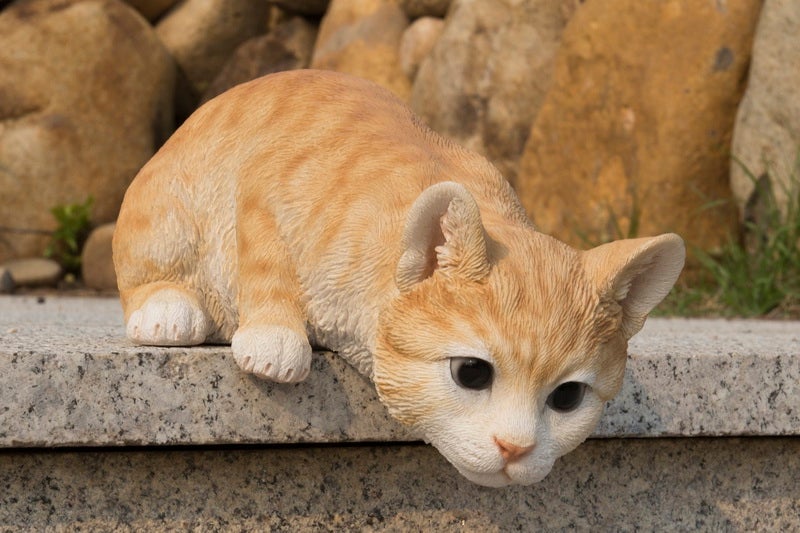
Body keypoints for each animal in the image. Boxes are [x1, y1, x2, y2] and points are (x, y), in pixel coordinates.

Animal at [114, 70, 688, 486]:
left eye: (568, 398)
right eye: (472, 373)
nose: (516, 448)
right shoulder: (264, 186)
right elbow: (264, 262)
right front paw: (273, 340)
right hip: (165, 212)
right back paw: (169, 311)